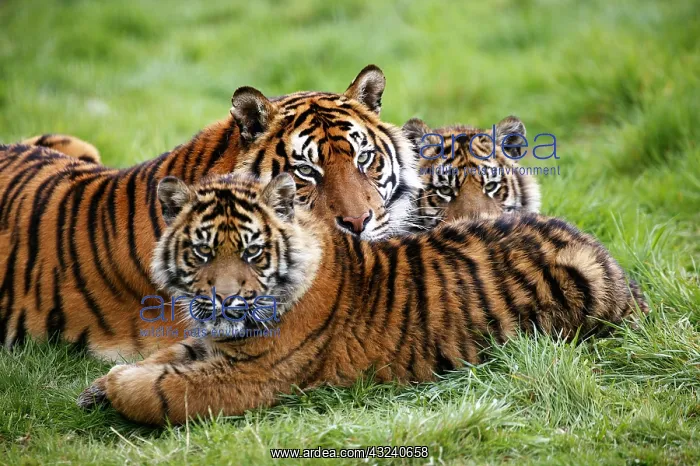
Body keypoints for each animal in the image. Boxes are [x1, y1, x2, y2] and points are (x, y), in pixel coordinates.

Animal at [77, 172, 648, 425]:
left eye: (252, 251)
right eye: (201, 251)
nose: (221, 301)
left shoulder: (250, 374)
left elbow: (163, 389)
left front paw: (118, 386)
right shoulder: (214, 343)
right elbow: (165, 355)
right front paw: (98, 386)